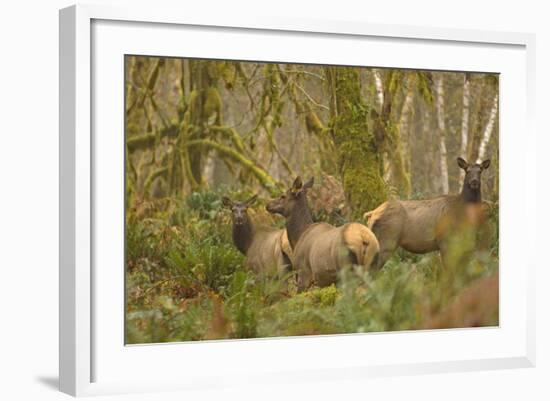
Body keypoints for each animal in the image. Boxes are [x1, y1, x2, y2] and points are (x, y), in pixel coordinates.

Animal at [364, 156, 494, 268]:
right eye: (467, 170)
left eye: (480, 170)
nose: (474, 182)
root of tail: (371, 214)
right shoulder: (445, 240)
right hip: (387, 240)